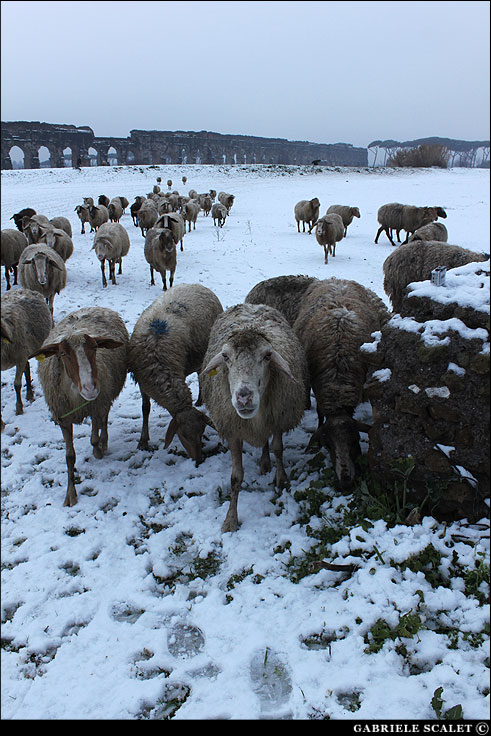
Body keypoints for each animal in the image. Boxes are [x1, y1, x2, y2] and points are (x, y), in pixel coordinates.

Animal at [1, 288, 52, 429]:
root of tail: (23, 289)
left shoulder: (20, 357)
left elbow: (17, 384)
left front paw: (19, 409)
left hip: (25, 350)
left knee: (26, 368)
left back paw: (29, 393)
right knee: (27, 367)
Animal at [29, 307, 129, 507]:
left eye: (95, 348)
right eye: (63, 354)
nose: (90, 388)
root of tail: (95, 307)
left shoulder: (96, 405)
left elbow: (94, 438)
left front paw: (98, 450)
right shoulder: (63, 418)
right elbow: (69, 457)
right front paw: (70, 494)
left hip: (104, 397)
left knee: (104, 420)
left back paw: (104, 442)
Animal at [128, 283, 222, 462]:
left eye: (202, 433)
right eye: (183, 435)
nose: (198, 460)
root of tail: (197, 284)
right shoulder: (143, 383)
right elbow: (145, 409)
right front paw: (143, 441)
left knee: (201, 374)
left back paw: (200, 399)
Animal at [199, 302, 308, 532]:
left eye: (267, 356)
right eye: (225, 357)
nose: (244, 397)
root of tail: (252, 305)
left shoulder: (278, 419)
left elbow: (278, 448)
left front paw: (281, 479)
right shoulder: (233, 431)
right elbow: (235, 477)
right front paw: (230, 520)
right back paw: (264, 462)